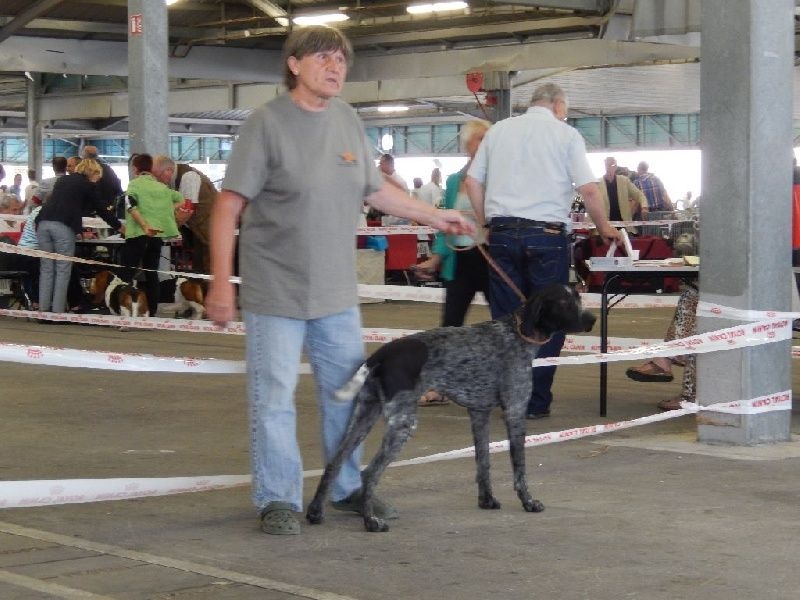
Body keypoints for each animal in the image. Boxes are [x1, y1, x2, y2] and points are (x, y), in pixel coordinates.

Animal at [310, 284, 596, 532]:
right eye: (563, 302)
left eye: (578, 297)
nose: (591, 319)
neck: (515, 335)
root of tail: (379, 355)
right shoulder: (515, 411)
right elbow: (519, 469)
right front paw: (528, 502)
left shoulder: (479, 414)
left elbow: (483, 462)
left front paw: (487, 500)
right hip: (402, 425)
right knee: (369, 474)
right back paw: (371, 522)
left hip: (364, 416)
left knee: (334, 462)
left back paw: (316, 512)